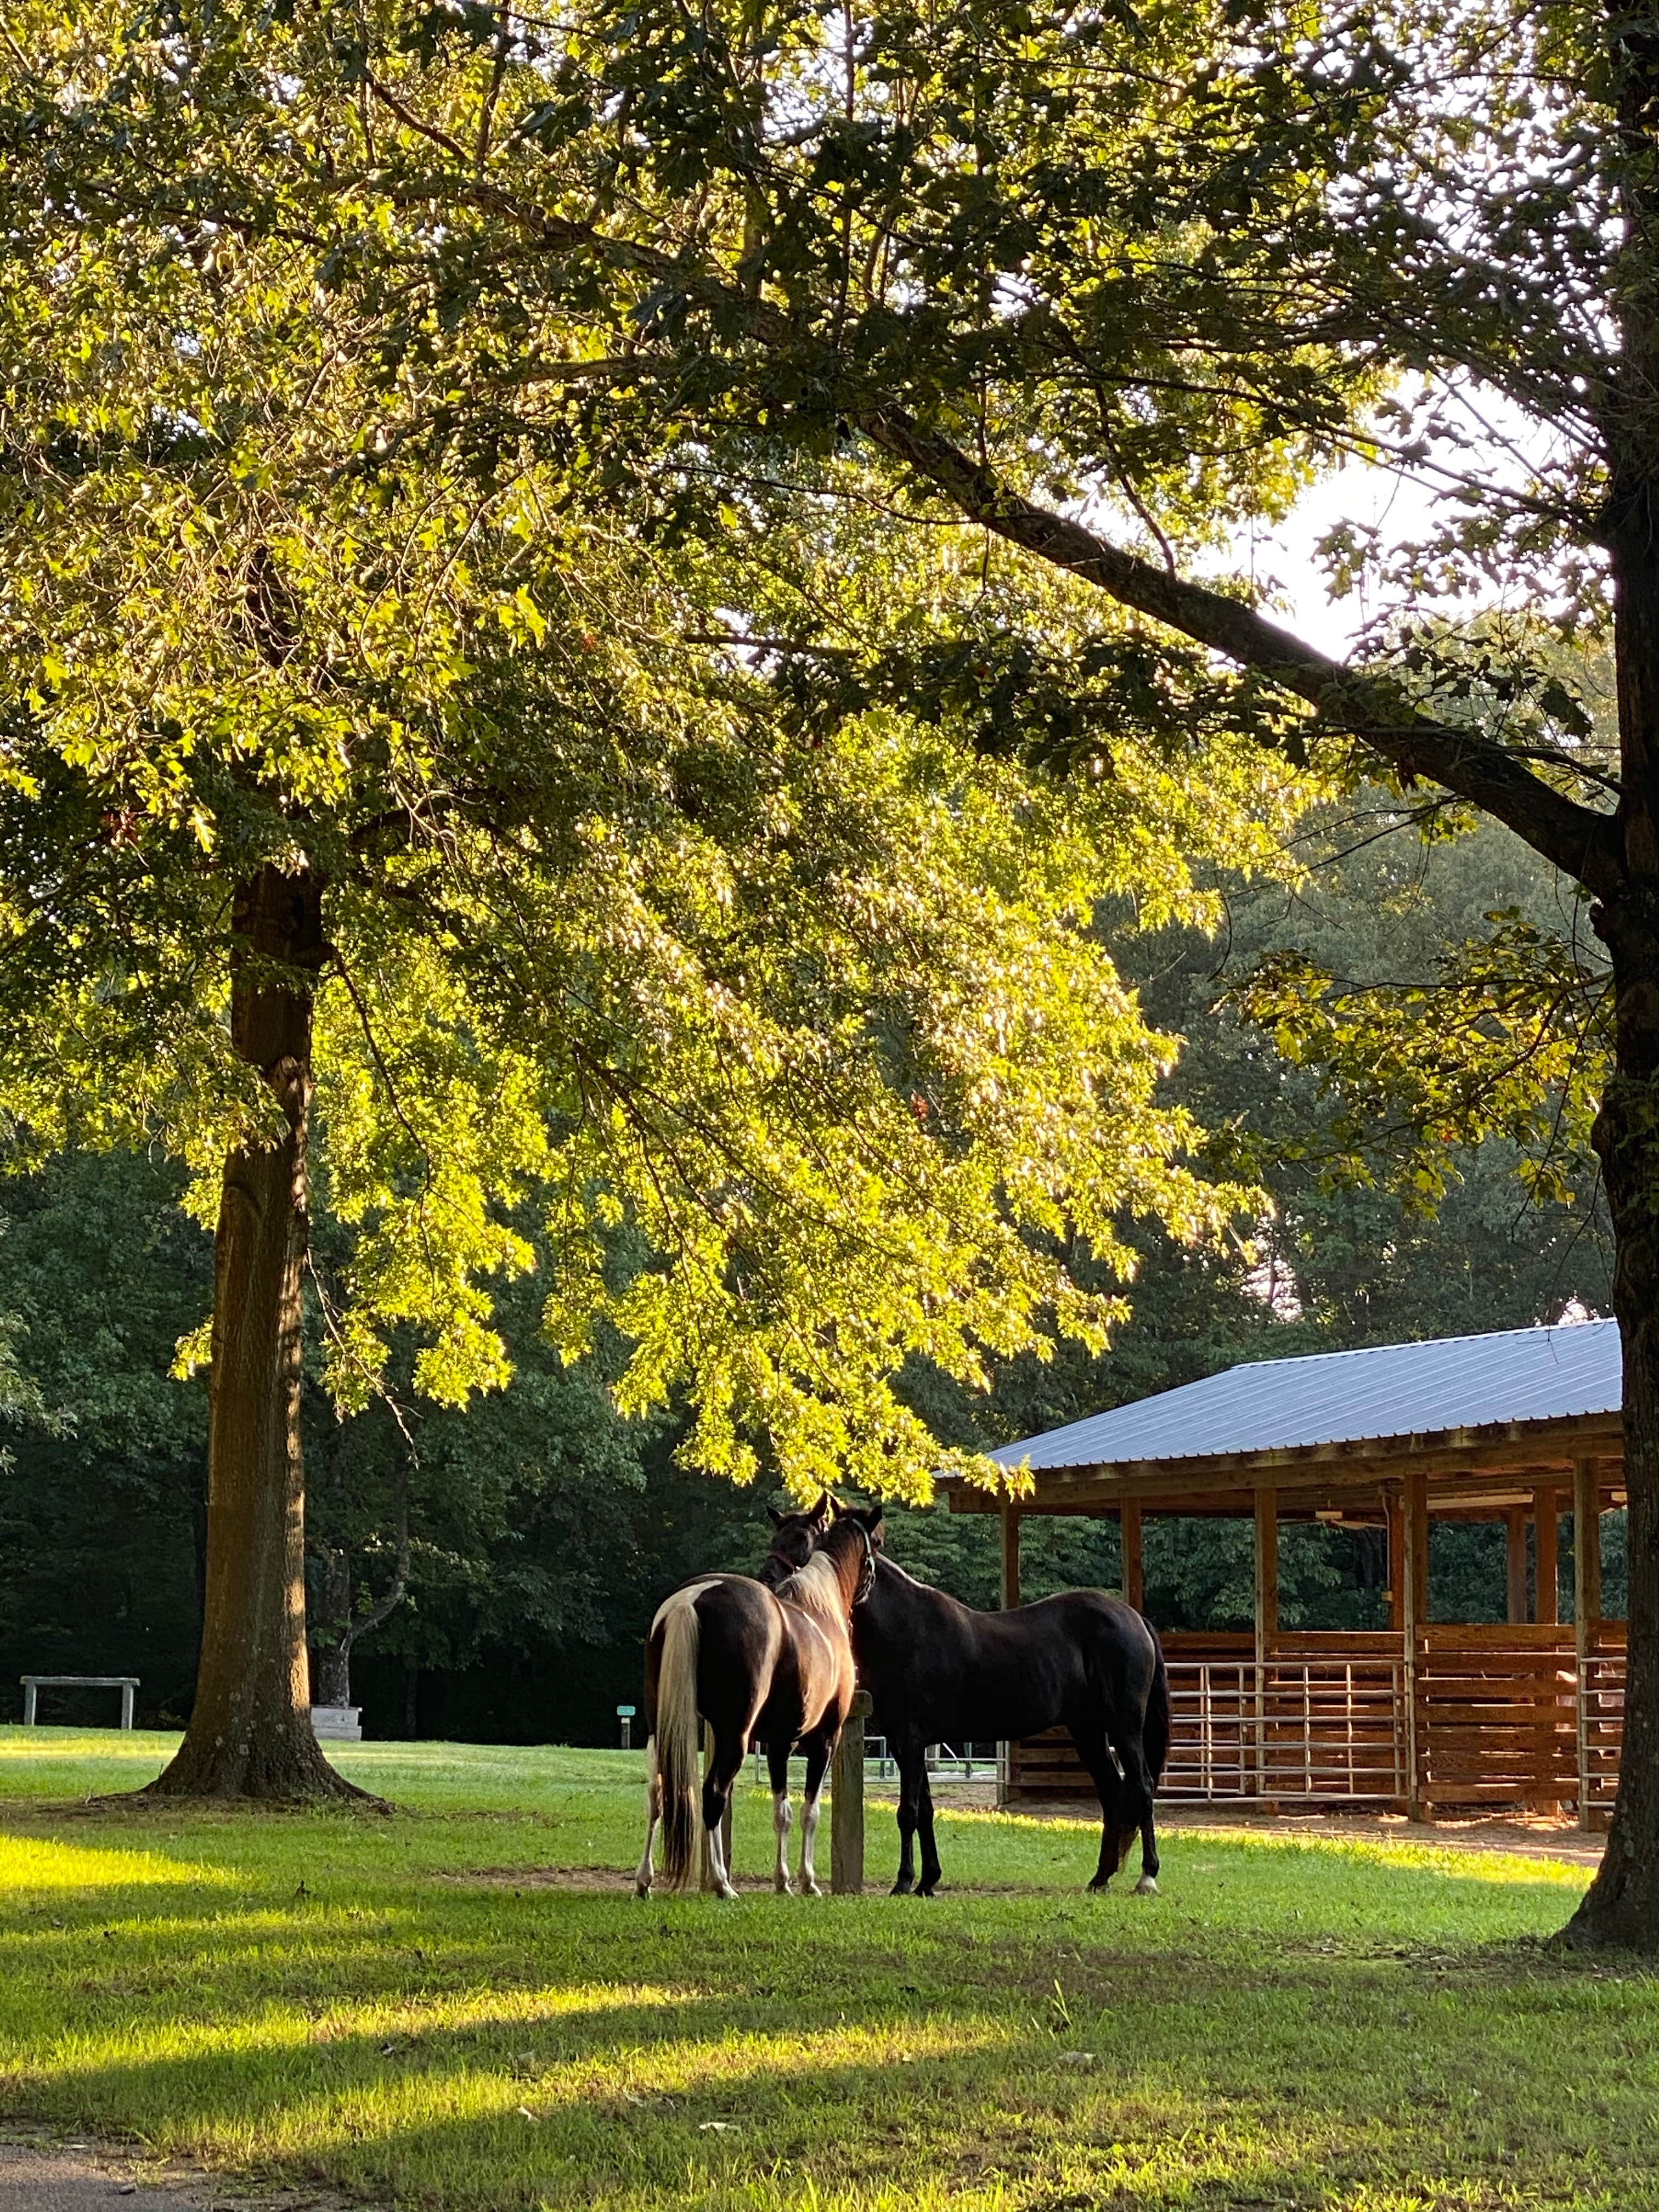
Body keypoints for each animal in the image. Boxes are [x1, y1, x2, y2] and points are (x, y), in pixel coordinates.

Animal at [634, 1504, 878, 1900]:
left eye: (794, 1537)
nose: (769, 1573)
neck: (818, 1606)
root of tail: (692, 1599)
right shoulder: (825, 1739)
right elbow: (810, 1811)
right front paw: (808, 1882)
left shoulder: (779, 1744)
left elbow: (782, 1812)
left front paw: (783, 1882)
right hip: (735, 1737)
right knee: (713, 1795)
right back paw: (722, 1884)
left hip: (662, 1728)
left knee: (658, 1794)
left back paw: (645, 1880)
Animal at [760, 1500, 1168, 1898]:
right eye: (776, 1535)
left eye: (803, 1538)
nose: (768, 1581)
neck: (904, 1627)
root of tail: (1136, 1619)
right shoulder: (905, 1742)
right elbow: (925, 1809)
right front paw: (928, 1881)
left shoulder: (910, 1739)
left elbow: (908, 1811)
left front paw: (904, 1882)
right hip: (1088, 1731)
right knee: (1112, 1793)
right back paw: (1101, 1878)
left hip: (1124, 1728)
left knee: (1143, 1787)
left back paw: (1147, 1877)